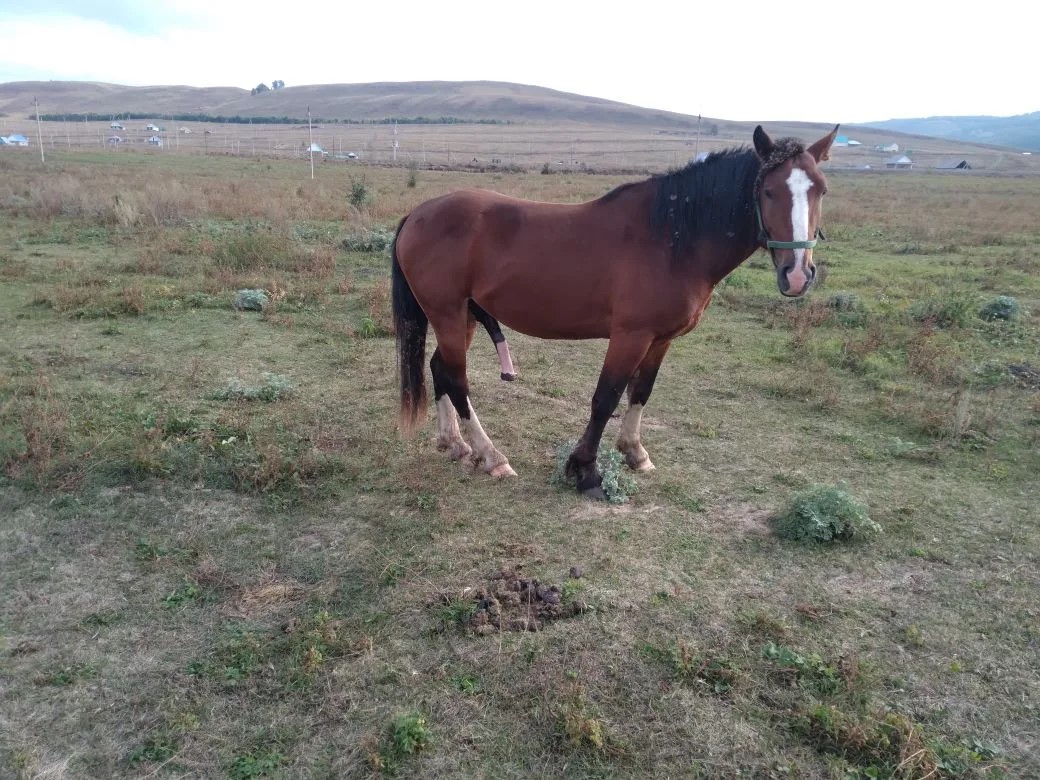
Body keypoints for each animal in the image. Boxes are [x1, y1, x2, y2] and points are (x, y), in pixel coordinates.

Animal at [391, 124, 838, 498]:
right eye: (769, 191)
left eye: (821, 190)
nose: (797, 275)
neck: (672, 239)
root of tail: (417, 213)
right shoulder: (630, 336)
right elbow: (605, 398)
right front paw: (585, 471)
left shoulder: (660, 340)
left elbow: (640, 391)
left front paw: (634, 452)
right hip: (448, 314)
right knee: (457, 378)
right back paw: (491, 456)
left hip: (463, 315)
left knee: (439, 368)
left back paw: (455, 443)